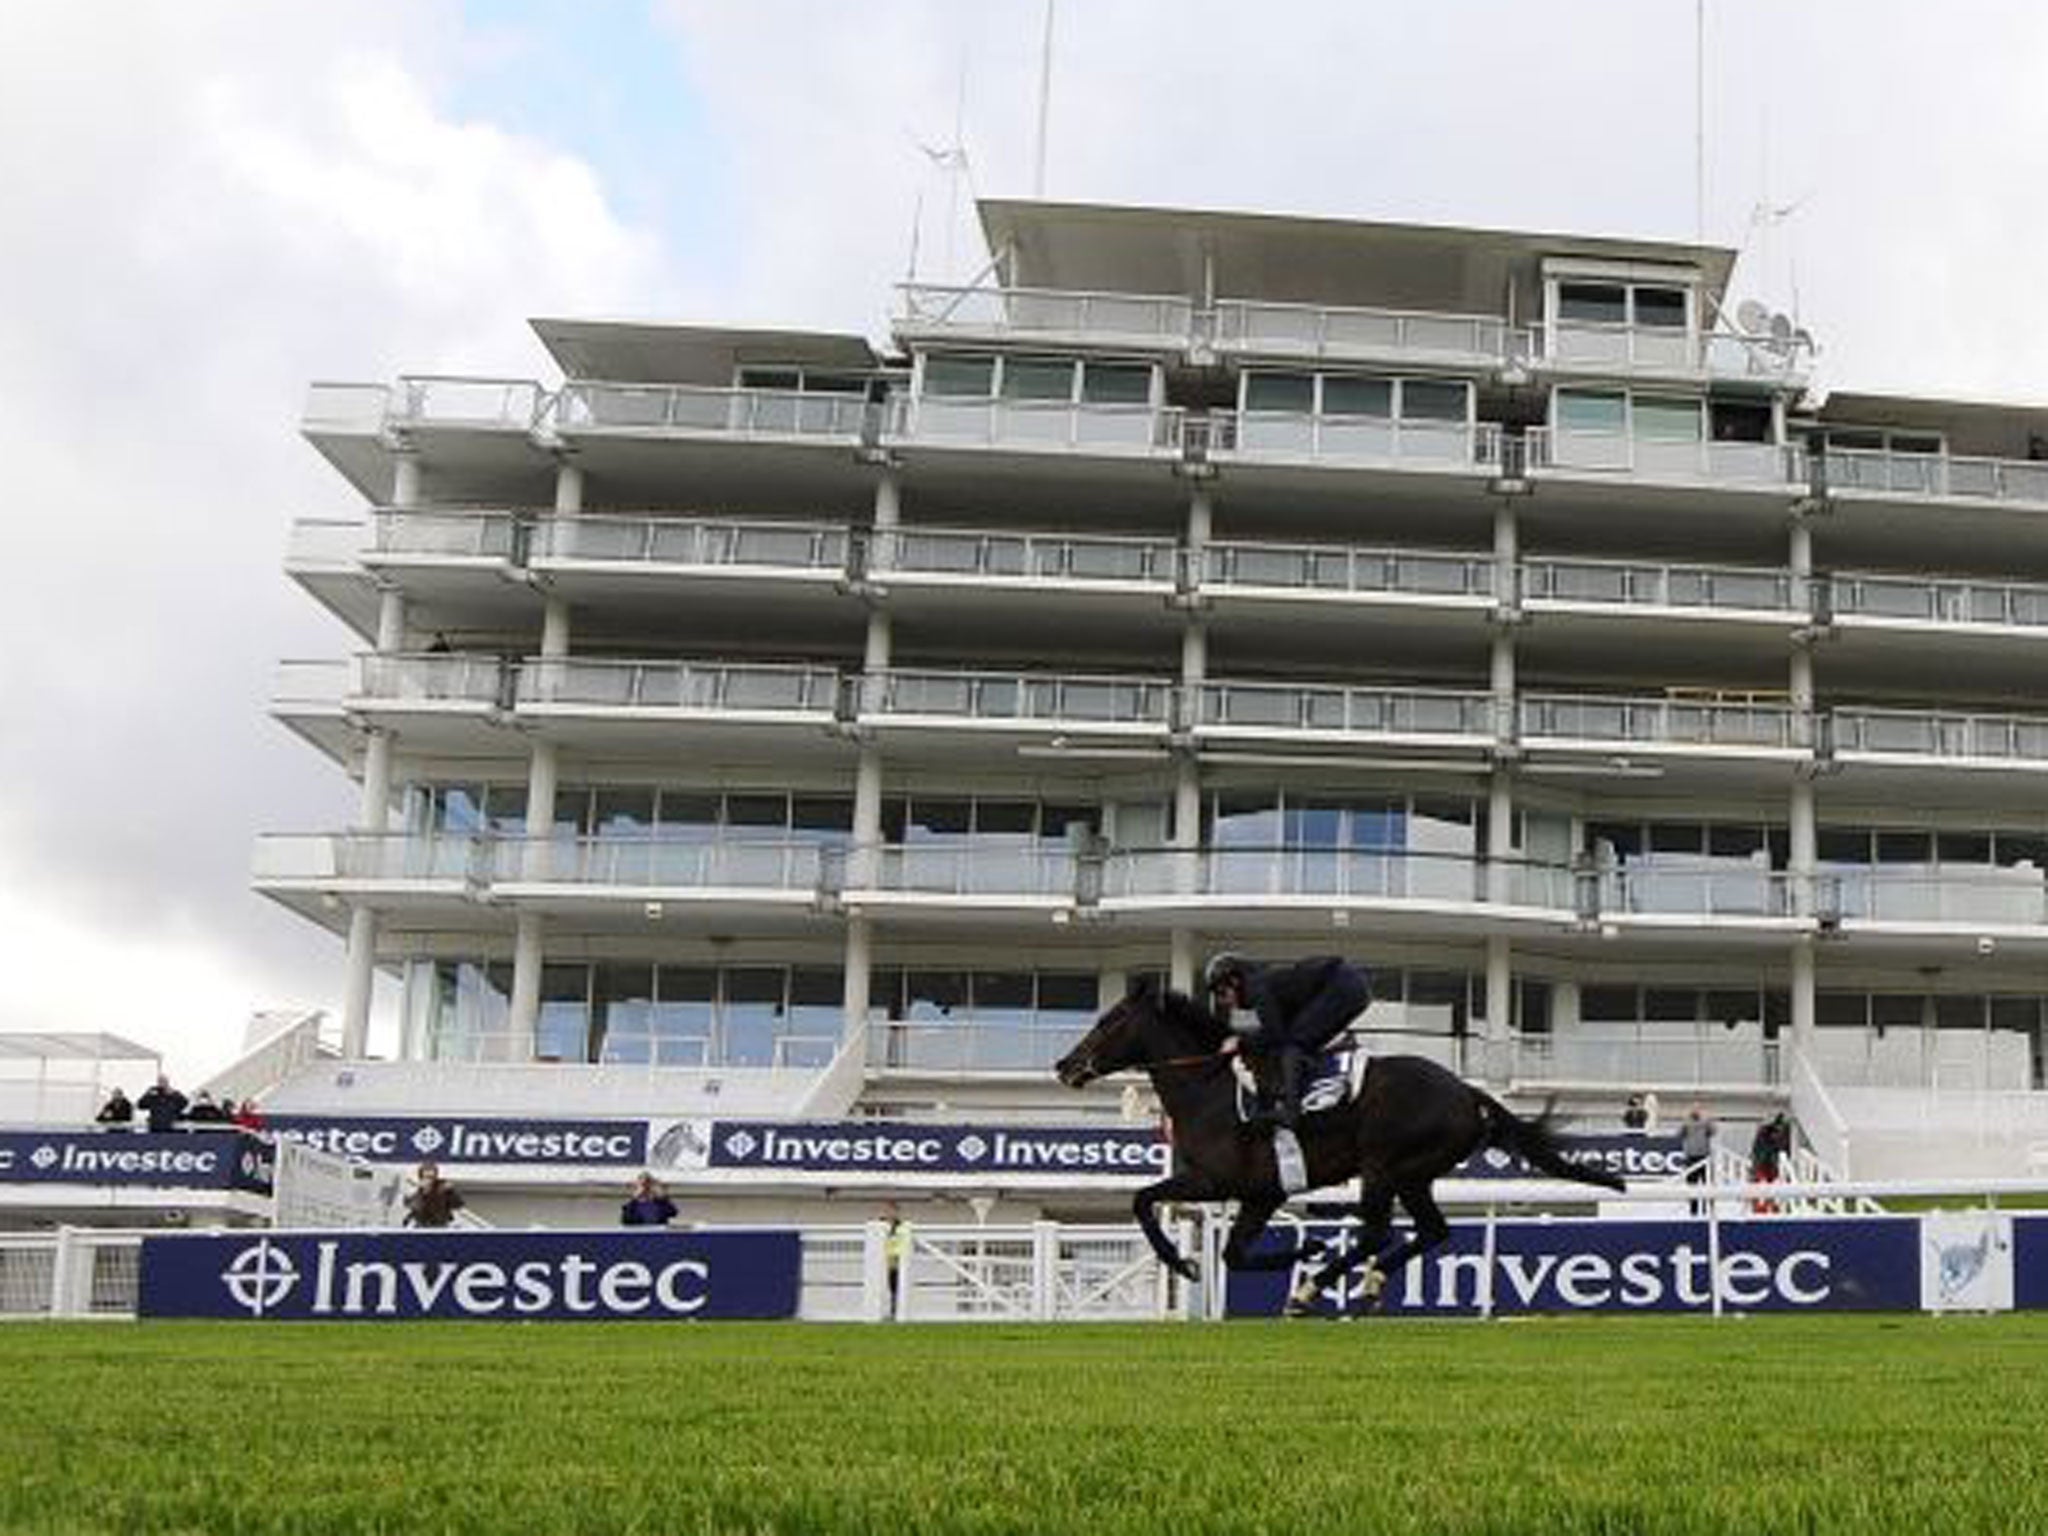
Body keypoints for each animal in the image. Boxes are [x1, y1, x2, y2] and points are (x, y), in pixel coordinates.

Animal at [1048, 987, 1622, 1310]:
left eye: (1106, 1023)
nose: (1064, 1065)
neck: (1208, 1087)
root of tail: (1465, 1091)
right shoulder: (1263, 1194)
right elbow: (1233, 1253)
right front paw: (1300, 1252)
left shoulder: (1217, 1180)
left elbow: (1142, 1201)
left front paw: (1186, 1263)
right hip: (1414, 1175)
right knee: (1430, 1230)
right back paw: (1363, 1284)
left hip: (1384, 1165)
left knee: (1377, 1231)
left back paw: (1314, 1288)